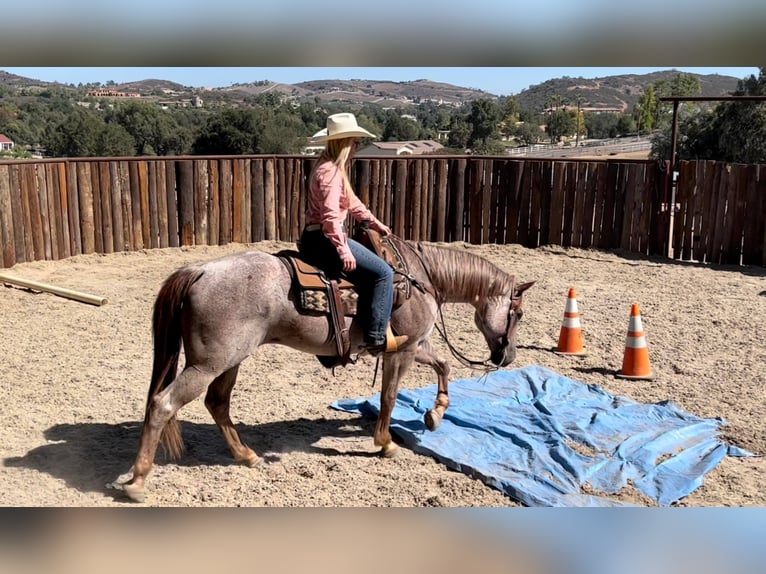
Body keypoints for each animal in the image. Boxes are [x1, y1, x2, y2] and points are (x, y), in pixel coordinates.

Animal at [121, 235, 536, 504]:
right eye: (517, 314)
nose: (508, 357)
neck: (422, 278)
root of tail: (200, 270)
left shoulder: (416, 345)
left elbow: (444, 364)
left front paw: (435, 414)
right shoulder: (400, 352)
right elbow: (389, 396)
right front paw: (386, 443)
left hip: (228, 361)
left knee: (217, 404)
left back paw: (246, 455)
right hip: (209, 363)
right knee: (163, 403)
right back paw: (138, 480)